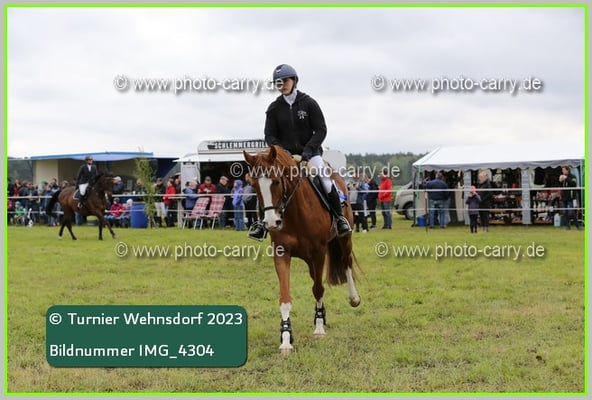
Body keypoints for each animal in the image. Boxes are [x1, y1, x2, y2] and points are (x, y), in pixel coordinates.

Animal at [243, 145, 361, 354]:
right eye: (254, 185)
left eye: (276, 182)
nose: (272, 222)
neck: (294, 212)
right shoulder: (282, 253)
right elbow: (285, 296)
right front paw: (285, 338)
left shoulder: (319, 252)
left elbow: (318, 289)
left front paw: (319, 328)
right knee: (316, 276)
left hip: (344, 239)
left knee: (346, 263)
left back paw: (353, 298)